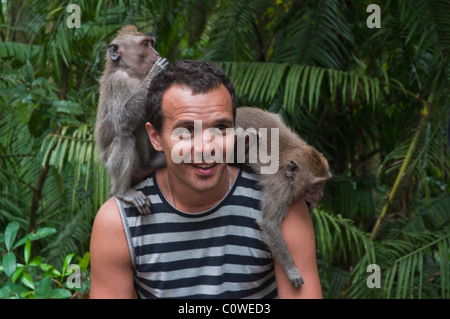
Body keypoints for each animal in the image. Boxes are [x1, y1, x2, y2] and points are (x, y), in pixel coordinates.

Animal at [94, 25, 168, 215]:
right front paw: (156, 71)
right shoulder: (116, 83)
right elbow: (123, 121)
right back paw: (122, 192)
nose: (156, 53)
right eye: (145, 45)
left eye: (151, 44)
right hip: (114, 165)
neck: (132, 73)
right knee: (124, 137)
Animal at [234, 106, 332, 288]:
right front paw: (291, 270)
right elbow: (269, 224)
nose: (321, 194)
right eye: (317, 184)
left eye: (324, 182)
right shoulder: (280, 188)